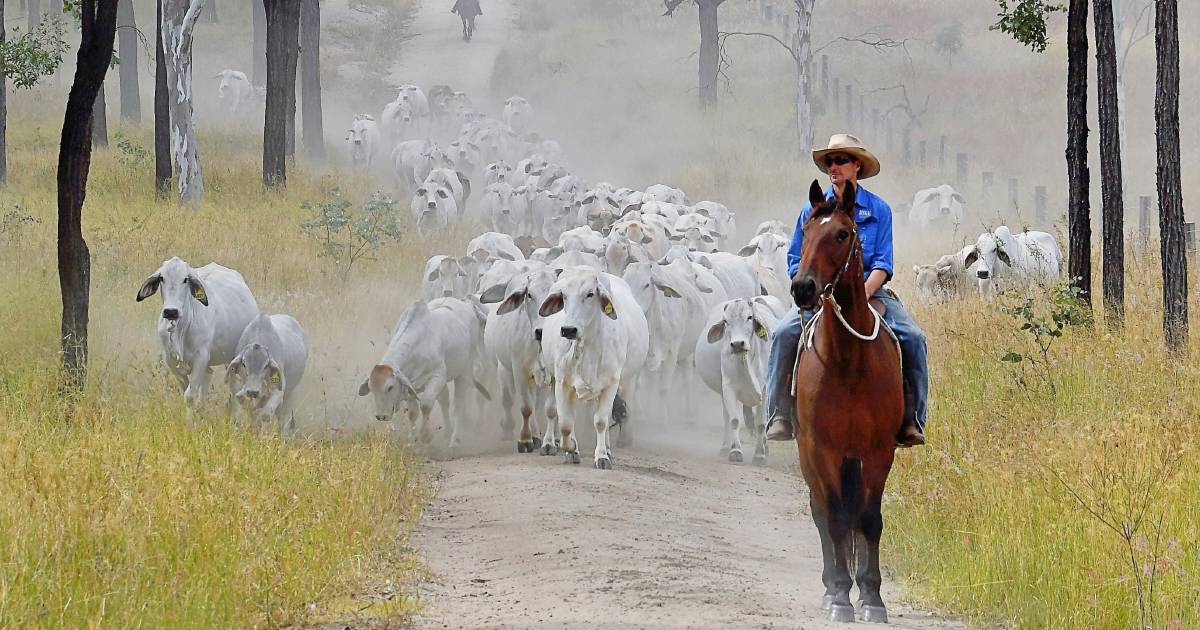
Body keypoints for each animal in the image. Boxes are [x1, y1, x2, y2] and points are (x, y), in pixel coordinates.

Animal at [787, 178, 902, 619]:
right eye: (804, 231)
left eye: (841, 233)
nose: (803, 287)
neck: (848, 362)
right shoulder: (823, 449)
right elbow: (834, 518)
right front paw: (839, 596)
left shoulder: (878, 450)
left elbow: (868, 518)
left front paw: (871, 597)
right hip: (809, 454)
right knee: (823, 513)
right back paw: (829, 587)